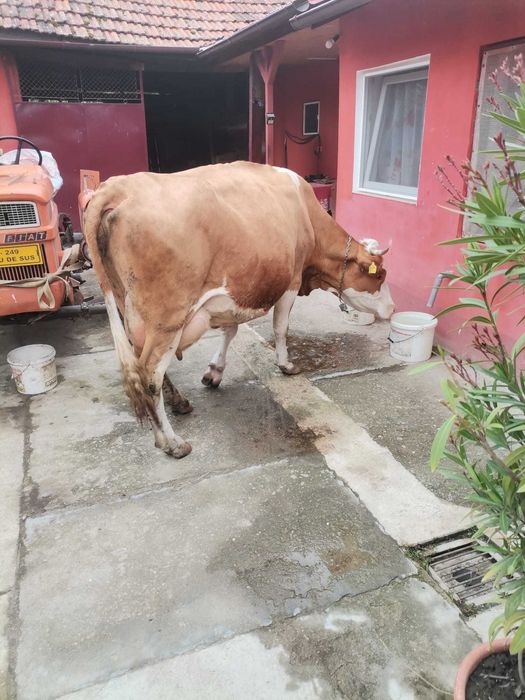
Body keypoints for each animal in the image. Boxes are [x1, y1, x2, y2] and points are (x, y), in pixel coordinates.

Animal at [83, 162, 394, 458]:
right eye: (380, 275)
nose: (392, 308)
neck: (306, 216)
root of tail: (116, 187)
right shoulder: (291, 281)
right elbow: (281, 328)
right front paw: (286, 365)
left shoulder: (233, 292)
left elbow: (230, 331)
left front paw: (214, 372)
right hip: (167, 318)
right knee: (149, 375)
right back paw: (171, 442)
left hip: (130, 309)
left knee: (141, 363)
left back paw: (179, 402)